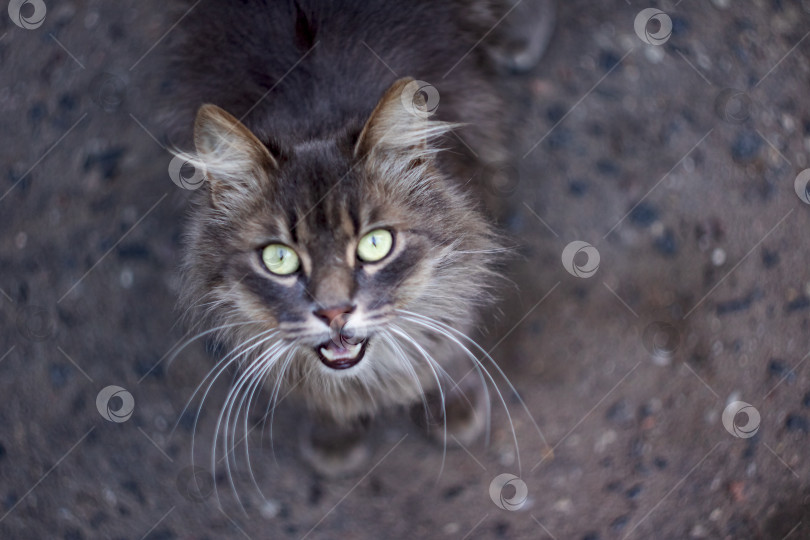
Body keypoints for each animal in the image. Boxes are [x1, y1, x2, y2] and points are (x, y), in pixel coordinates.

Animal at [166, 0, 556, 474]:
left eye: (375, 244)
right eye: (279, 258)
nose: (334, 312)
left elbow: (448, 335)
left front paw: (452, 401)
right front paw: (334, 433)